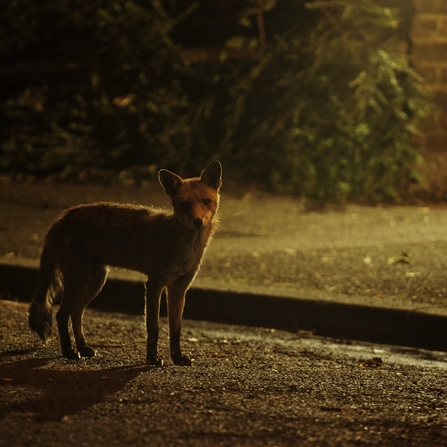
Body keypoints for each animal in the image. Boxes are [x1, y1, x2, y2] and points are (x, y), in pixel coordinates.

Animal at [28, 161, 223, 368]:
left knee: (75, 313)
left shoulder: (178, 288)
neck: (184, 245)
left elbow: (175, 329)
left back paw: (82, 348)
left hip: (96, 281)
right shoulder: (154, 285)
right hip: (78, 279)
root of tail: (58, 220)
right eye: (185, 204)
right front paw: (152, 359)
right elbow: (153, 328)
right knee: (61, 314)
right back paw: (69, 351)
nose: (198, 222)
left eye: (206, 201)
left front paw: (177, 358)